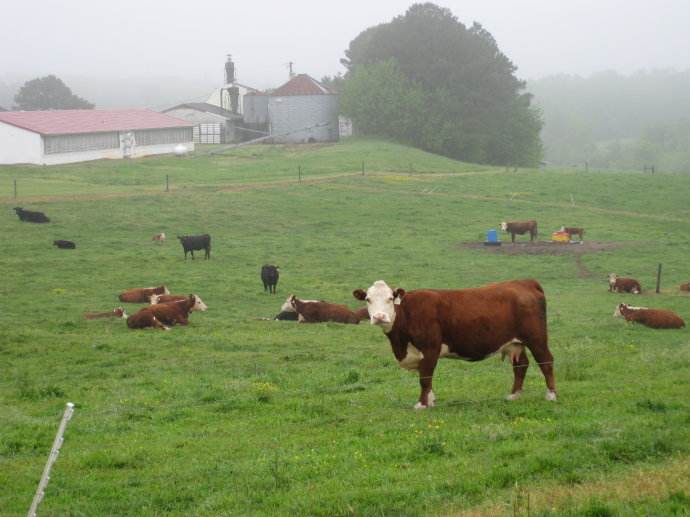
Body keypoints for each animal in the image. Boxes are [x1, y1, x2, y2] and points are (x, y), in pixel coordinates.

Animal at [352, 280, 556, 410]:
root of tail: (523, 282)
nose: (379, 317)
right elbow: (427, 379)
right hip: (515, 343)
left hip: (536, 338)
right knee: (521, 365)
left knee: (546, 361)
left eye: (389, 298)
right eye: (368, 299)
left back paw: (551, 395)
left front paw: (421, 404)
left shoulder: (430, 348)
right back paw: (514, 395)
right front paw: (430, 401)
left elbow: (425, 378)